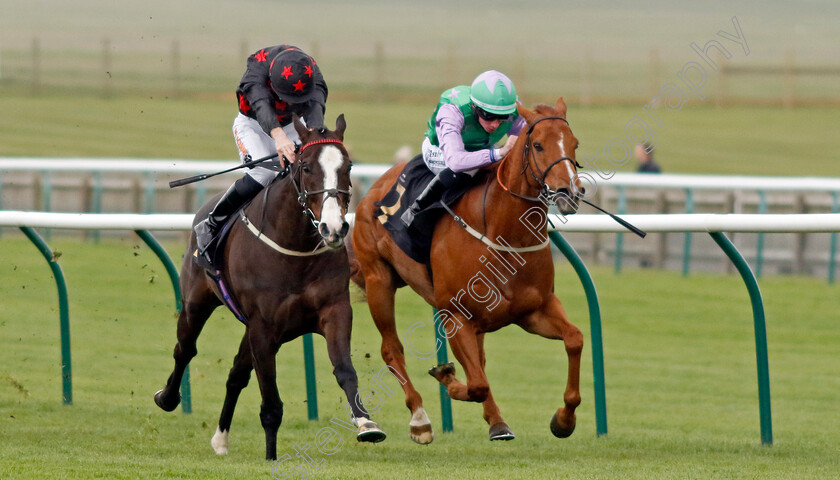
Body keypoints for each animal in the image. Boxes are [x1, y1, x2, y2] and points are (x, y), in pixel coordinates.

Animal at [156, 114, 386, 460]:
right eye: (306, 167)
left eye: (348, 167)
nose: (333, 228)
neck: (295, 247)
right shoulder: (263, 327)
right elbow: (271, 403)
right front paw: (271, 457)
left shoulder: (333, 311)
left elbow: (345, 370)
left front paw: (366, 424)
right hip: (197, 302)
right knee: (185, 348)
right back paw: (168, 398)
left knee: (236, 375)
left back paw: (221, 439)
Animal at [350, 99, 584, 444]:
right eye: (539, 145)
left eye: (574, 143)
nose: (570, 191)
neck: (504, 235)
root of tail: (372, 190)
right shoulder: (456, 317)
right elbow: (477, 384)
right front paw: (444, 374)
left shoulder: (535, 310)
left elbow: (575, 339)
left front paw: (564, 420)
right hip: (378, 281)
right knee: (392, 350)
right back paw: (420, 419)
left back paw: (497, 422)